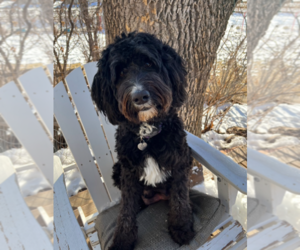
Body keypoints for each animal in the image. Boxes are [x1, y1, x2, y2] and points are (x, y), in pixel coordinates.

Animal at [91, 32, 195, 249]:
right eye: (120, 72)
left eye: (149, 63)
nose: (140, 96)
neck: (147, 133)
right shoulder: (128, 171)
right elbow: (126, 209)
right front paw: (123, 240)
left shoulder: (180, 162)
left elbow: (180, 197)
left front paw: (181, 227)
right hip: (117, 169)